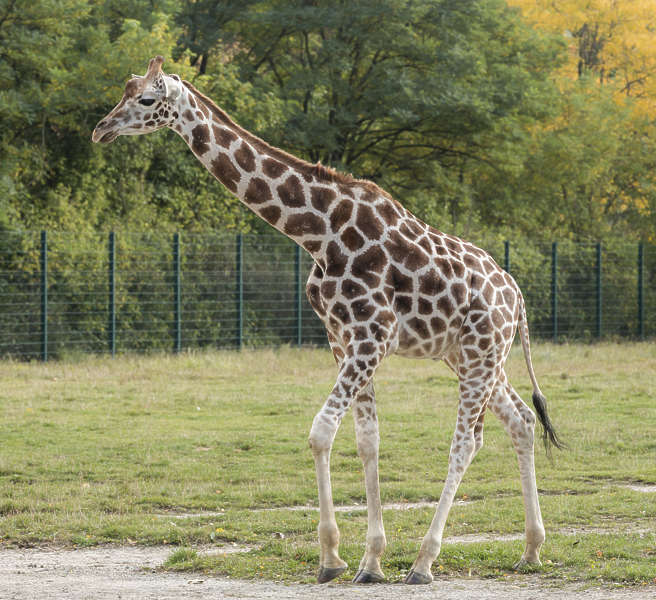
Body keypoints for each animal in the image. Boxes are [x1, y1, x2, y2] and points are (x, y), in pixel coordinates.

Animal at [93, 57, 564, 584]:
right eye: (124, 91)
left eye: (146, 99)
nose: (101, 129)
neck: (318, 232)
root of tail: (516, 294)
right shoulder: (343, 340)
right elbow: (366, 441)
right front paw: (370, 561)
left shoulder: (371, 338)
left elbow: (321, 432)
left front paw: (331, 557)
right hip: (468, 355)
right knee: (522, 420)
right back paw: (531, 548)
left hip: (483, 351)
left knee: (466, 443)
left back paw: (425, 561)